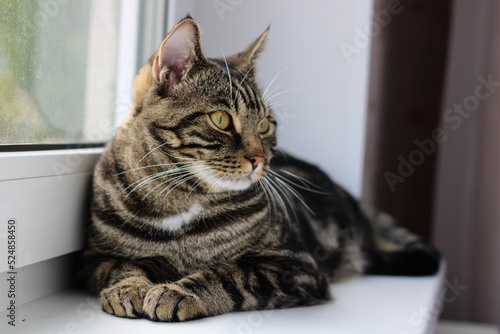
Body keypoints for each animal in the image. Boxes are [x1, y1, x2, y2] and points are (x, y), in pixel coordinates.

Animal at [77, 17, 438, 320]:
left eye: (265, 125)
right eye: (221, 120)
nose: (259, 158)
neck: (180, 202)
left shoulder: (296, 265)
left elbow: (231, 275)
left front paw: (179, 292)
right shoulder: (93, 258)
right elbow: (121, 266)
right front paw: (129, 288)